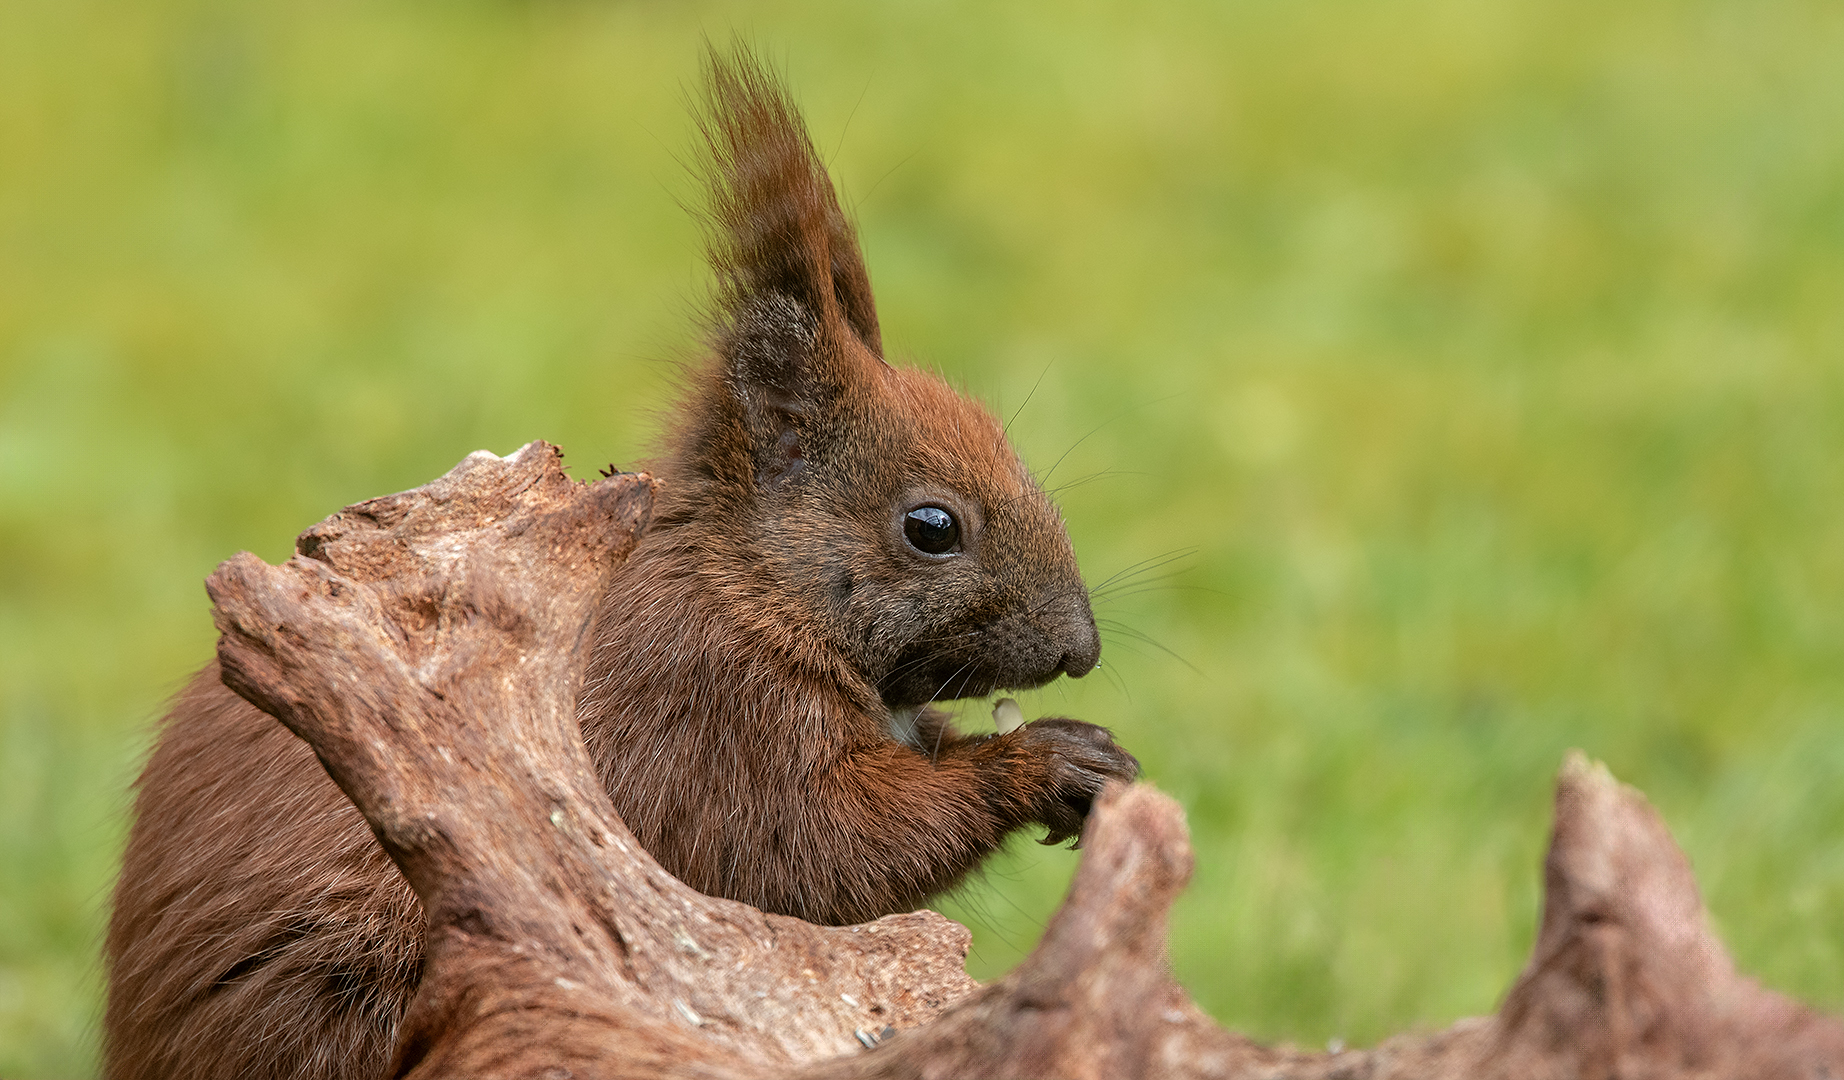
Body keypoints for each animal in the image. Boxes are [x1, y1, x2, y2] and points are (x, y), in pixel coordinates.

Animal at [107, 46, 1135, 1076]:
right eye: (931, 526)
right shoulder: (712, 713)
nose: (1081, 650)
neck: (745, 585)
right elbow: (826, 851)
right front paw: (1042, 763)